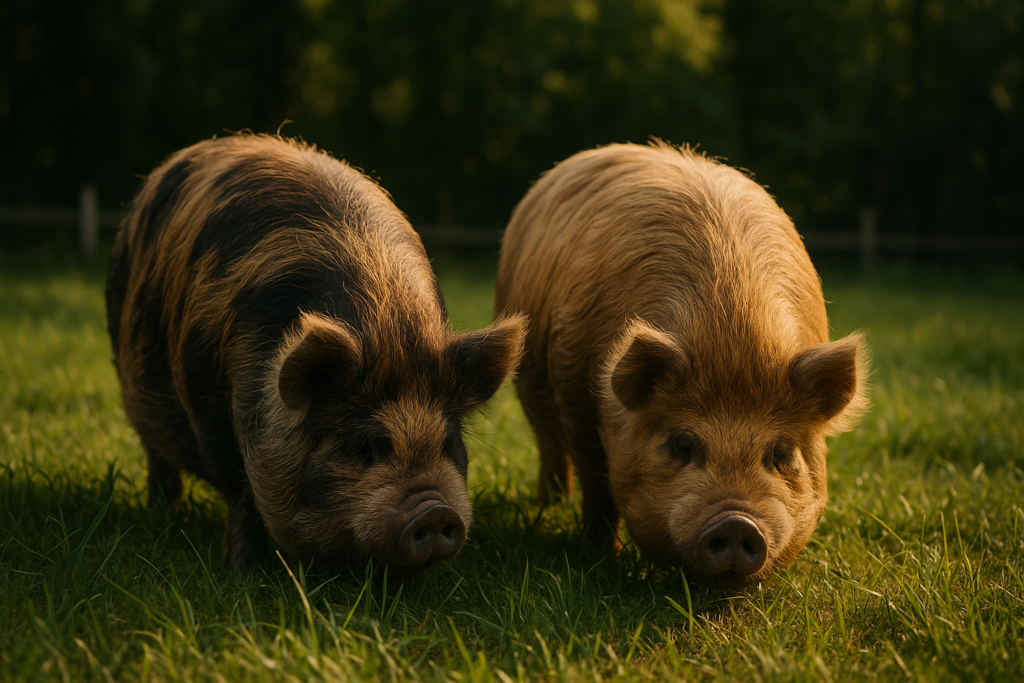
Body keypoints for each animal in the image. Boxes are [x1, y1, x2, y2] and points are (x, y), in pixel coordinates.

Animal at [106, 134, 525, 573]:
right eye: (361, 445)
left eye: (448, 443)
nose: (434, 511)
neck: (390, 329)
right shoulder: (214, 416)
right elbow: (241, 495)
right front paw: (240, 570)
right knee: (158, 458)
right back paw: (164, 517)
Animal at [495, 142, 867, 584]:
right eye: (682, 444)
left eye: (780, 452)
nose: (737, 523)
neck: (731, 333)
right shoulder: (574, 392)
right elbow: (597, 485)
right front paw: (604, 557)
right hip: (530, 383)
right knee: (548, 444)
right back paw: (550, 505)